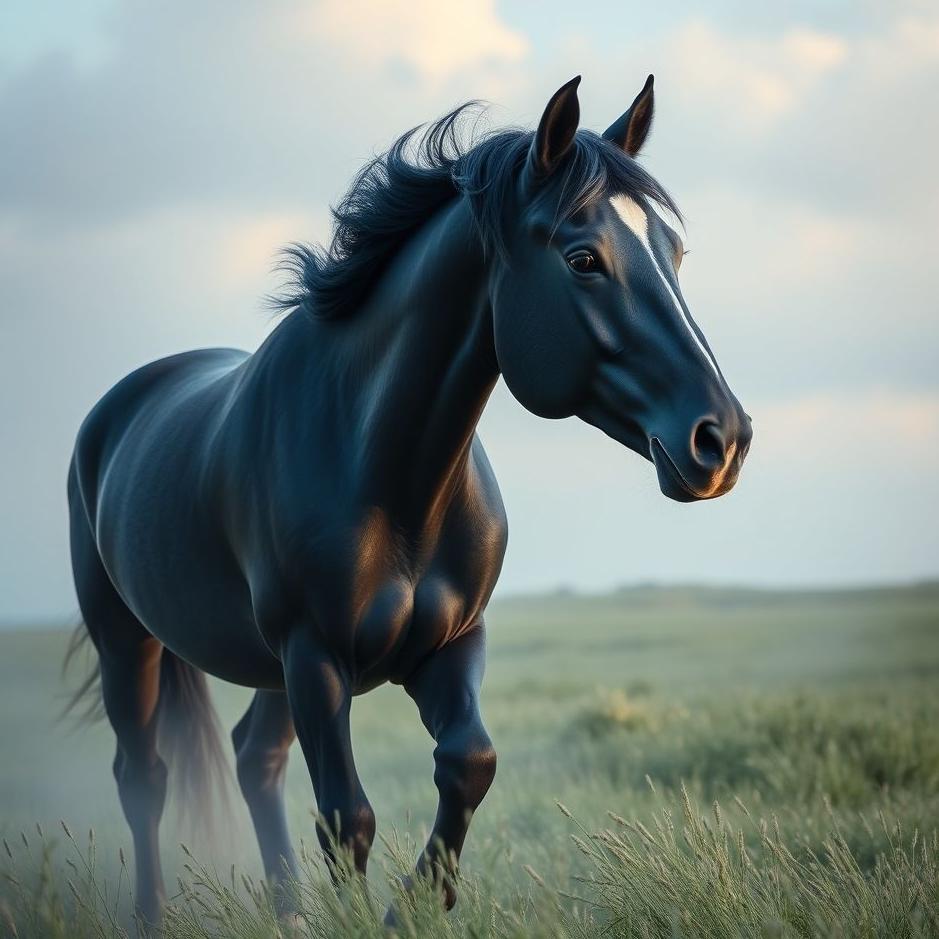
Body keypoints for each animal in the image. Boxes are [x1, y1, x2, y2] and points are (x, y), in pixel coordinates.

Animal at [65, 74, 751, 926]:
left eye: (673, 252)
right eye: (582, 257)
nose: (720, 439)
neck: (392, 478)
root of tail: (122, 403)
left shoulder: (447, 646)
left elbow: (469, 762)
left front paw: (415, 904)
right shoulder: (316, 657)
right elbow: (347, 817)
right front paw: (376, 915)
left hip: (265, 668)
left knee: (255, 757)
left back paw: (290, 916)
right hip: (130, 641)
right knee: (145, 778)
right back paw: (153, 915)